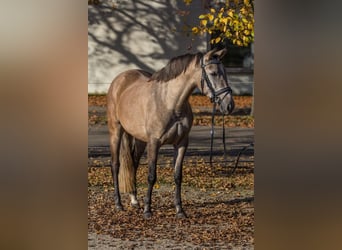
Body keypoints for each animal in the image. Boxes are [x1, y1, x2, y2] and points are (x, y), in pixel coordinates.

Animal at [107, 47, 235, 218]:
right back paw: (118, 204)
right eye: (213, 73)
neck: (171, 103)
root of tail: (120, 79)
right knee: (115, 165)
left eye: (225, 72)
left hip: (139, 139)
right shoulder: (154, 143)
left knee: (133, 163)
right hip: (116, 131)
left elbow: (177, 176)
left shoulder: (181, 144)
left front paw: (180, 210)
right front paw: (148, 210)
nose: (229, 105)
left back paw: (134, 199)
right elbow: (151, 176)